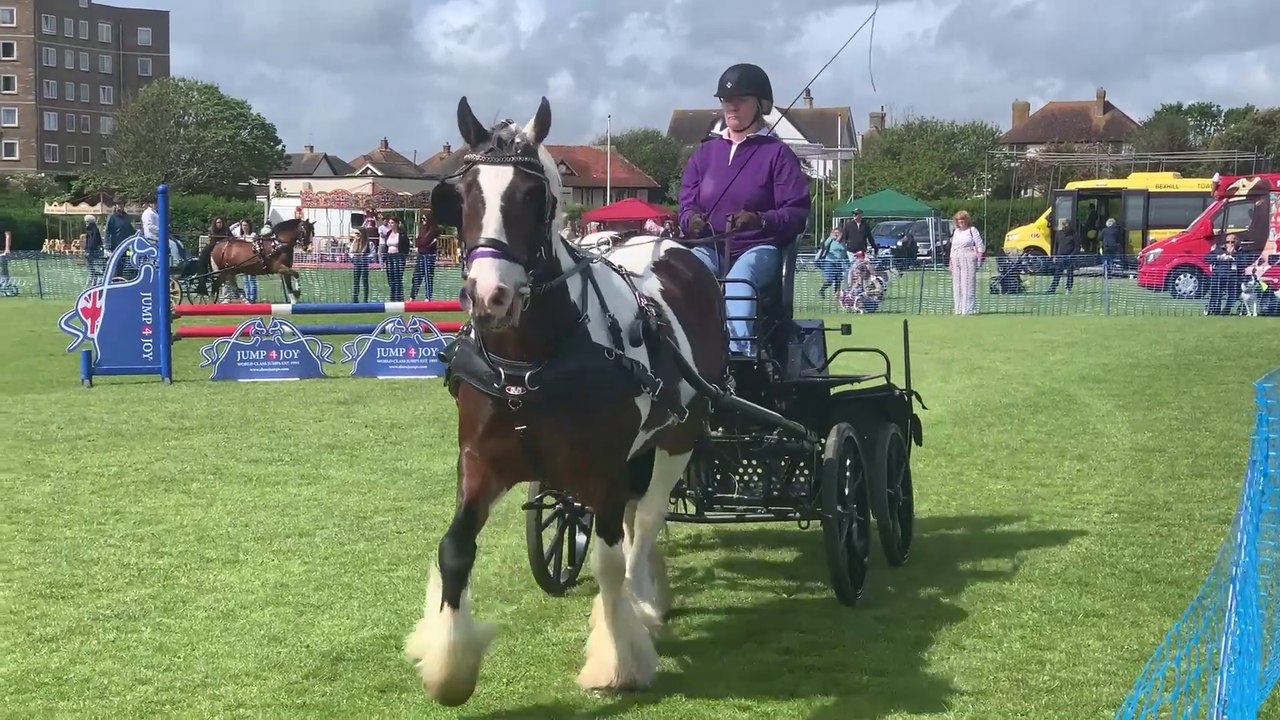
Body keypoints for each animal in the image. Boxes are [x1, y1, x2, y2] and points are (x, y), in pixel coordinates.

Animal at [401, 95, 729, 707]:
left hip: (679, 436)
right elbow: (454, 550)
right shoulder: (479, 464)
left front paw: (617, 661)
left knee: (645, 523)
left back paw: (645, 605)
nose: (490, 297)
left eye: (535, 197)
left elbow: (608, 561)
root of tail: (669, 244)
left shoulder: (604, 470)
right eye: (462, 195)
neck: (529, 366)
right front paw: (448, 667)